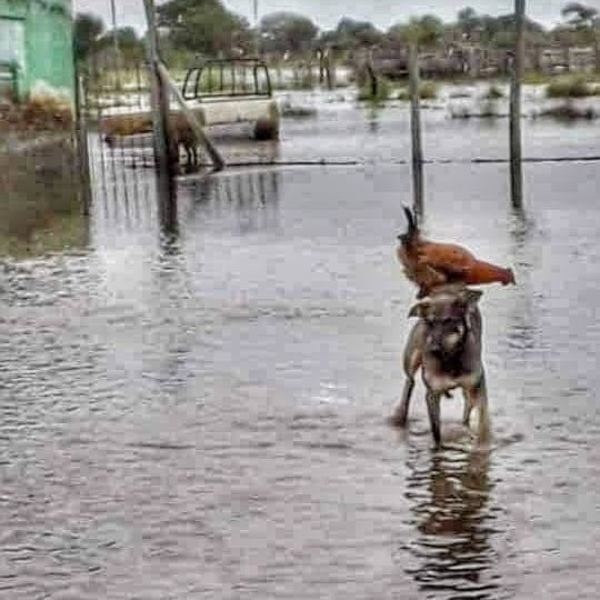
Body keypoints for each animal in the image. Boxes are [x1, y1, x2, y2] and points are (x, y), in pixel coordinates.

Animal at [390, 284, 492, 448]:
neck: (449, 358)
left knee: (467, 409)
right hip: (411, 358)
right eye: (429, 323)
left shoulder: (477, 386)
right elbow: (436, 429)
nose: (433, 349)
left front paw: (483, 443)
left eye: (448, 321)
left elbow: (483, 418)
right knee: (409, 383)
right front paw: (438, 447)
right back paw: (400, 415)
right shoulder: (432, 394)